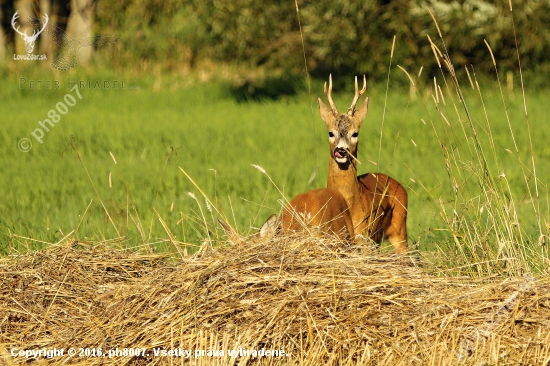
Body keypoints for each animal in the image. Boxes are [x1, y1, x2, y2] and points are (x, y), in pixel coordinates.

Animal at [320, 74, 410, 252]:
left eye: (355, 133)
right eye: (330, 133)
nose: (341, 150)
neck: (350, 204)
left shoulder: (363, 236)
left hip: (399, 228)